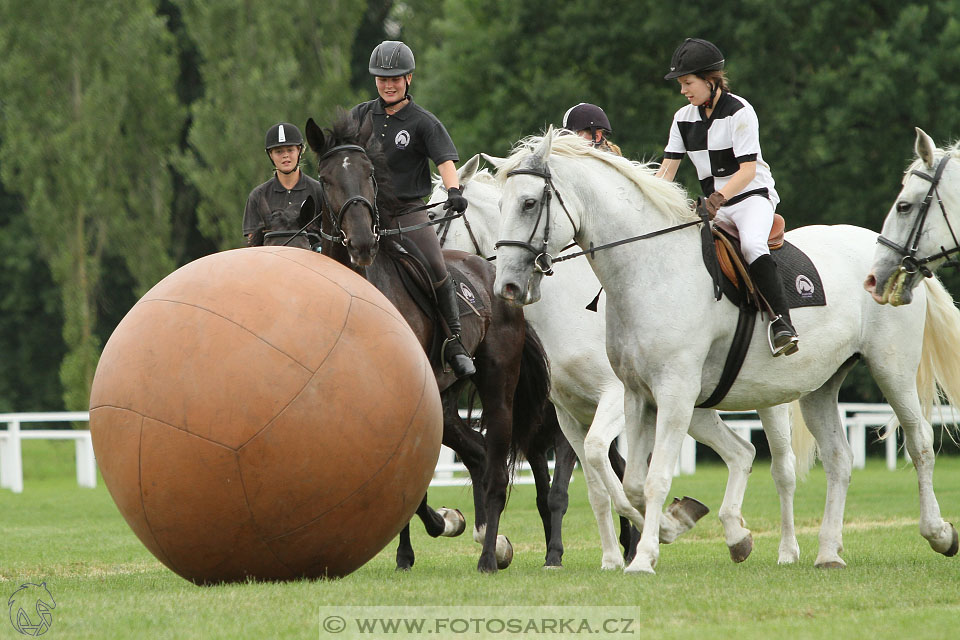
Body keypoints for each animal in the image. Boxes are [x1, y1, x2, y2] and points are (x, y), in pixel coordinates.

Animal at [268, 112, 556, 572]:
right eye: (327, 180)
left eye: (369, 174)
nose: (362, 242)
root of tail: (494, 276)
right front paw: (413, 546)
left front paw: (443, 523)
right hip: (447, 402)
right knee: (477, 453)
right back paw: (484, 537)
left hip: (498, 389)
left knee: (495, 466)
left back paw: (489, 554)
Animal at [432, 155, 812, 564]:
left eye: (438, 214)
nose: (505, 287)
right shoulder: (569, 415)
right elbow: (599, 484)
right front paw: (616, 553)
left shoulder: (612, 399)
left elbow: (598, 463)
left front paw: (648, 535)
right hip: (694, 407)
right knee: (742, 452)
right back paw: (734, 534)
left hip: (766, 398)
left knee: (781, 468)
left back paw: (787, 548)